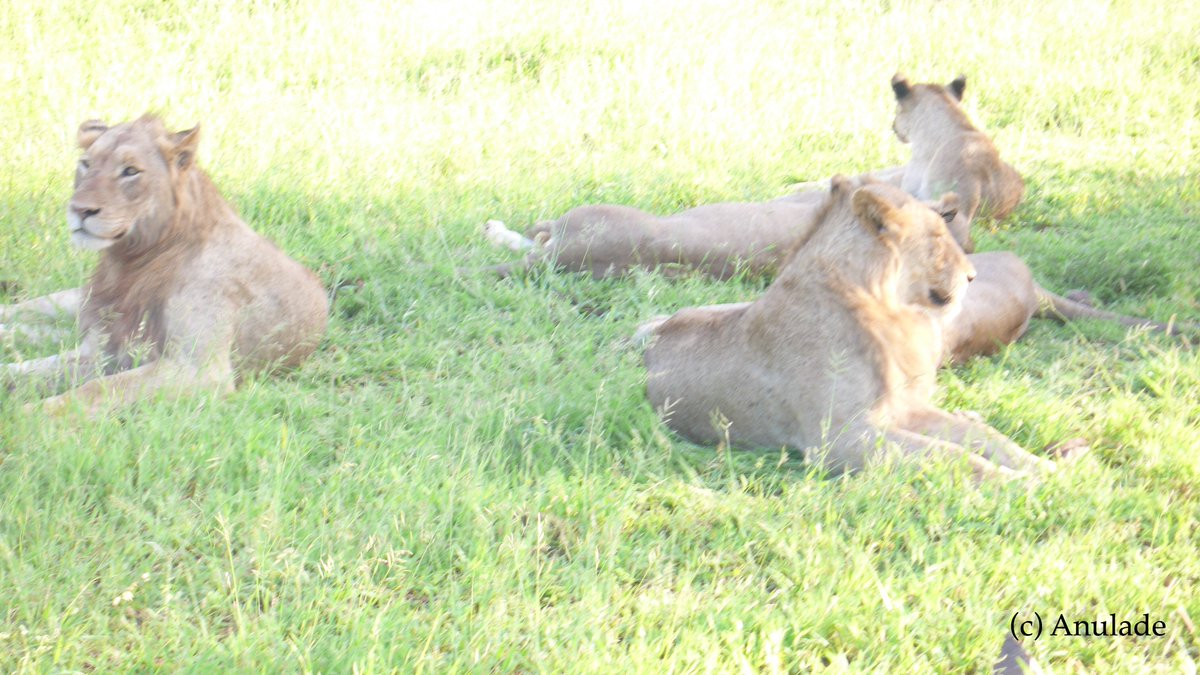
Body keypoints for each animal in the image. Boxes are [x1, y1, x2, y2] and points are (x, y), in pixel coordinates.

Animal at [0, 115, 329, 415]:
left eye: (130, 171)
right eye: (86, 164)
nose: (80, 210)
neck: (130, 263)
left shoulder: (202, 369)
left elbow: (99, 388)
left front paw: (27, 417)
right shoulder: (105, 348)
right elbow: (29, 371)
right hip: (72, 301)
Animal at [639, 178, 1060, 480]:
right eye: (938, 238)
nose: (972, 276)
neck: (891, 310)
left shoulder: (907, 409)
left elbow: (983, 438)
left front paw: (1044, 467)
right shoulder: (839, 440)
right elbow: (950, 455)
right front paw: (1020, 483)